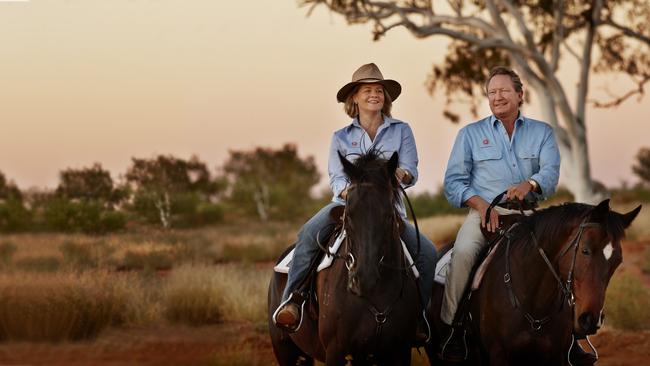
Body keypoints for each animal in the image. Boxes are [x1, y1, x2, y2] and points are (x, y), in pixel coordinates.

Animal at [266, 150, 418, 364]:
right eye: (349, 214)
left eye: (389, 215)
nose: (364, 278)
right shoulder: (335, 351)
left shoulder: (400, 351)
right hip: (286, 350)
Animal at [422, 199, 640, 364]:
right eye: (585, 250)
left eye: (617, 261)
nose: (591, 320)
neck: (534, 301)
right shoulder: (499, 355)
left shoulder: (555, 356)